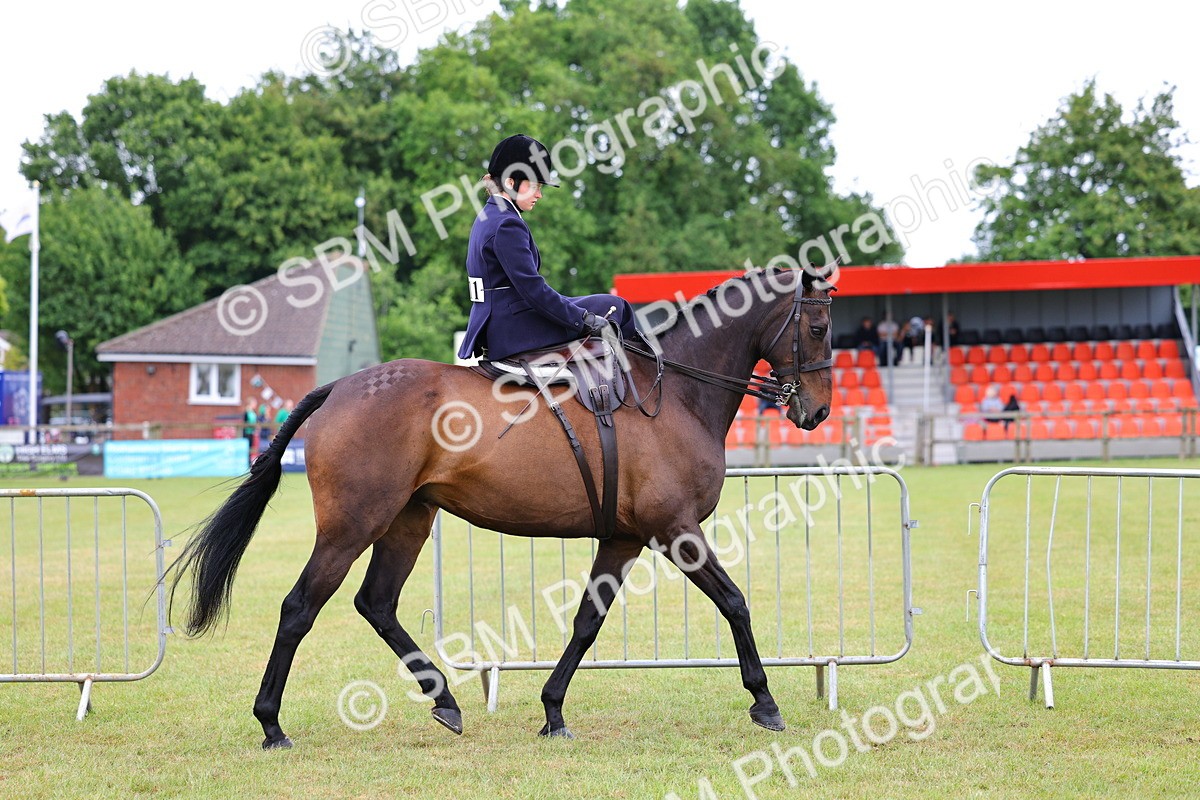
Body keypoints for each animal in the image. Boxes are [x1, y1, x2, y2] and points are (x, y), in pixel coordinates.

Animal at [169, 266, 834, 749]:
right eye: (821, 328)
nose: (819, 411)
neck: (671, 395)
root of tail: (340, 387)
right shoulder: (675, 530)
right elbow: (735, 602)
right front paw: (765, 701)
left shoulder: (624, 539)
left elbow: (587, 622)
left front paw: (553, 711)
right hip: (351, 526)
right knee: (299, 608)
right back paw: (271, 723)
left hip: (409, 521)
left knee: (376, 603)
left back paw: (444, 700)